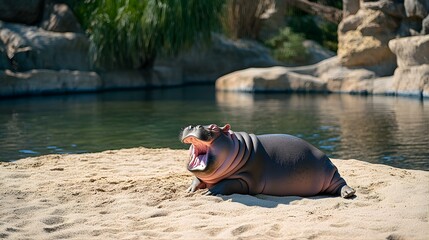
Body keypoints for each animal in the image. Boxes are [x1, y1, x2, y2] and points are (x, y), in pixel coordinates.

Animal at [180, 124, 354, 199]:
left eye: (214, 127)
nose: (193, 125)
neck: (237, 147)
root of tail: (324, 155)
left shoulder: (246, 179)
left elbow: (226, 183)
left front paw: (210, 191)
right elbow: (197, 178)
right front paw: (190, 189)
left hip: (331, 172)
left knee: (341, 183)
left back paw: (348, 193)